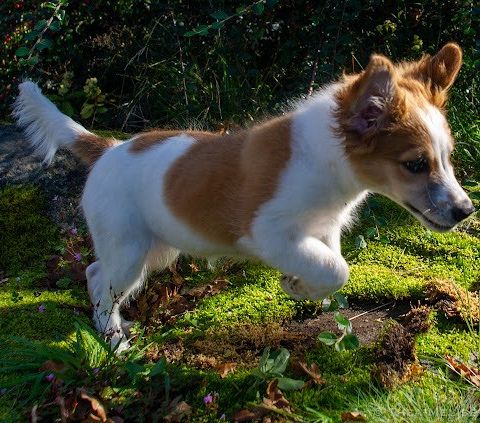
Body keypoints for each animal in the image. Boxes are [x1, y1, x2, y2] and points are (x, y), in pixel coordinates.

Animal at [14, 42, 472, 352]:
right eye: (416, 164)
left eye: (447, 157)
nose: (466, 211)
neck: (319, 159)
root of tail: (108, 147)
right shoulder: (266, 230)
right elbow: (337, 269)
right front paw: (297, 285)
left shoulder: (323, 231)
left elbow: (329, 263)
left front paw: (300, 285)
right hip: (129, 250)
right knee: (101, 282)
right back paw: (113, 342)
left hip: (154, 250)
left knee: (95, 274)